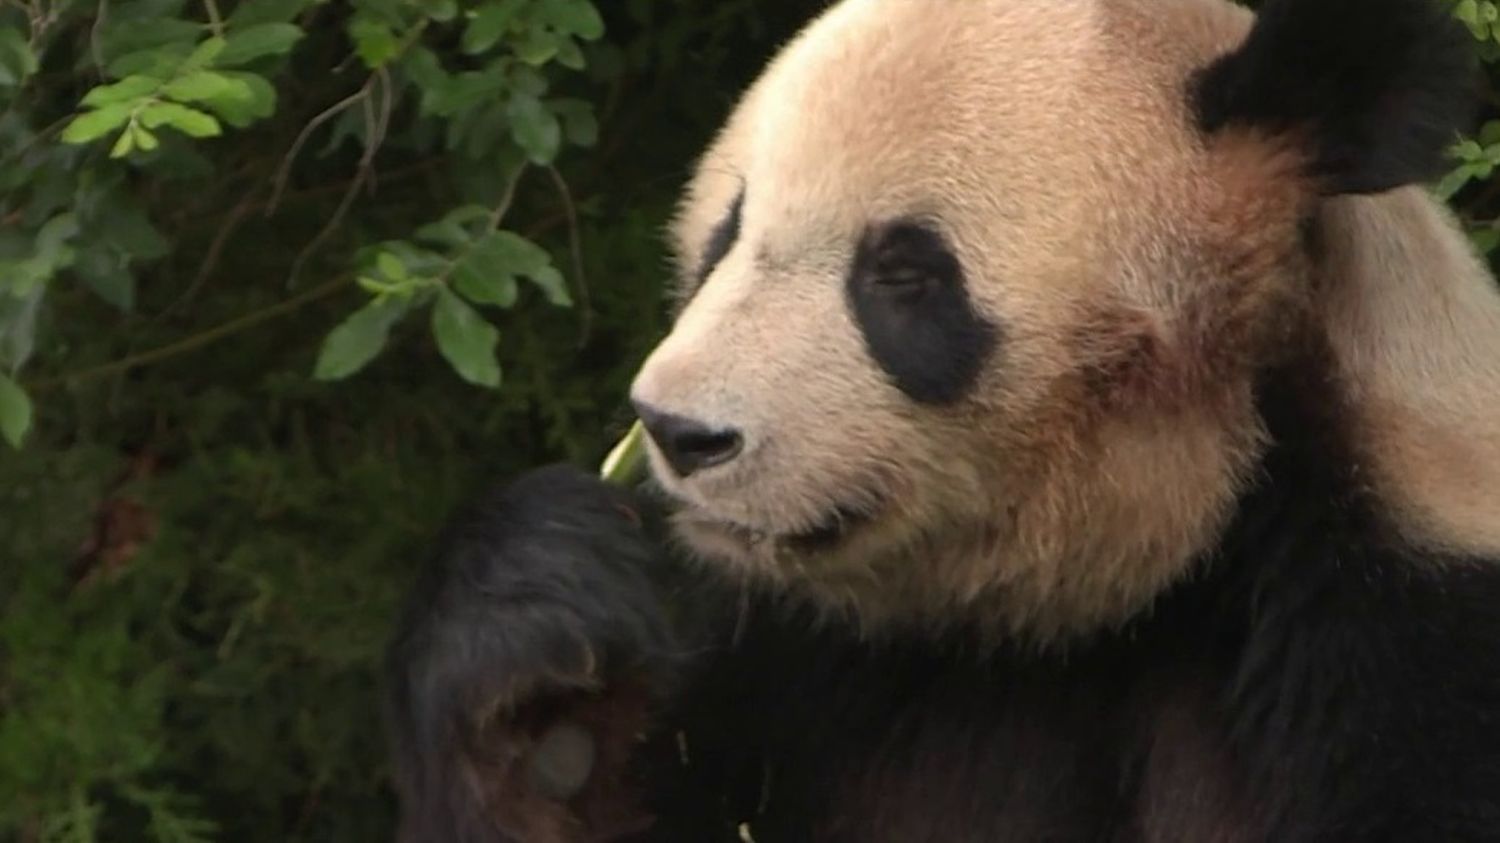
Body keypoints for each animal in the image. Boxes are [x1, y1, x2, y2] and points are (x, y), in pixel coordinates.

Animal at [381, 0, 1500, 834]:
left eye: (904, 273)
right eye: (725, 236)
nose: (680, 432)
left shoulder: (1399, 647)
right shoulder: (785, 653)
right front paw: (539, 659)